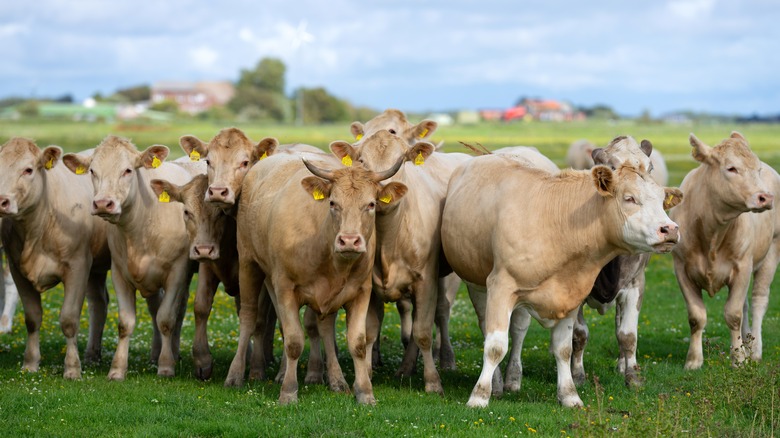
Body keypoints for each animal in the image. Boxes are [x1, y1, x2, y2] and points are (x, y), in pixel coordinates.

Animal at [0, 138, 111, 379]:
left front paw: (72, 369)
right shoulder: (16, 269)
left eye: (28, 169)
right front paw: (30, 363)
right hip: (96, 267)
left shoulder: (77, 266)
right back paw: (92, 355)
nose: (2, 201)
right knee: (99, 303)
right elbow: (32, 318)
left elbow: (69, 319)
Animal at [62, 135, 194, 379]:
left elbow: (166, 319)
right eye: (92, 170)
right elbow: (125, 323)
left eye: (127, 170)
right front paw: (117, 369)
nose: (103, 203)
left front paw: (166, 366)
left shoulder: (177, 272)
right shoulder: (120, 273)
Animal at [224, 151, 407, 405]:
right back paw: (235, 375)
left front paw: (364, 392)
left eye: (371, 204)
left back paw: (336, 380)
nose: (349, 241)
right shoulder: (286, 287)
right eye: (333, 203)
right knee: (249, 317)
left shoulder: (361, 291)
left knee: (324, 327)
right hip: (248, 262)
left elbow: (358, 343)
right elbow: (293, 341)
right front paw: (289, 392)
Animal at [441, 154, 682, 407]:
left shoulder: (571, 295)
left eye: (662, 201)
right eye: (630, 198)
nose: (670, 229)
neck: (556, 227)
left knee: (518, 330)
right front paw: (479, 396)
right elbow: (495, 346)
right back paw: (496, 383)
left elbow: (564, 348)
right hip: (477, 284)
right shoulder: (501, 286)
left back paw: (513, 378)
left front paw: (569, 394)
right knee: (487, 328)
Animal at [670, 132, 780, 369]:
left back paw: (754, 350)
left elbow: (733, 314)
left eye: (757, 169)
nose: (766, 197)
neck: (713, 231)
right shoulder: (681, 269)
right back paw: (748, 344)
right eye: (731, 168)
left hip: (771, 253)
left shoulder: (742, 267)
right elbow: (696, 316)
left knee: (758, 301)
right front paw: (694, 360)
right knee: (747, 305)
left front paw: (738, 359)